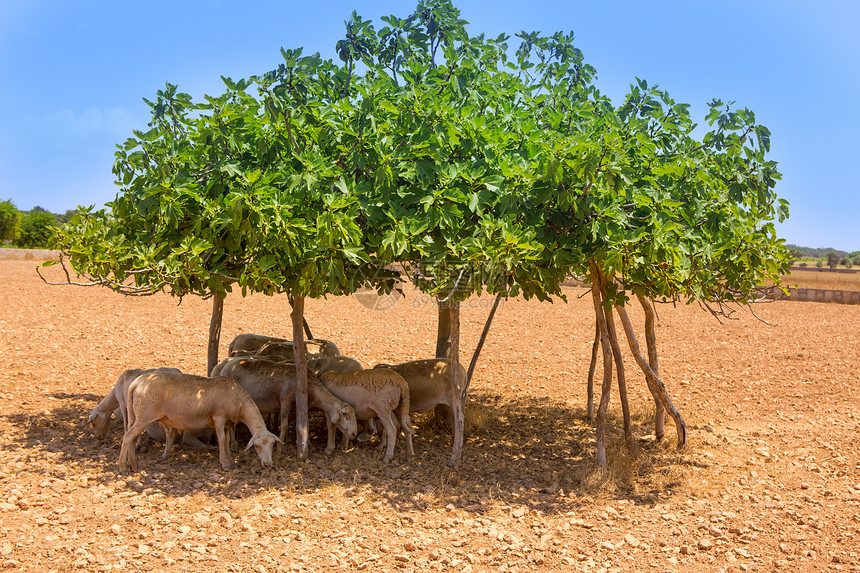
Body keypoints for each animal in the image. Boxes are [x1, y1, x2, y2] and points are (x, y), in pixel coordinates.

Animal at [116, 368, 278, 472]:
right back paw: (123, 467)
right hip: (144, 416)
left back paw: (133, 464)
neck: (239, 402)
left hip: (135, 416)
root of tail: (136, 383)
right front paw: (225, 464)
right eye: (256, 446)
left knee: (132, 437)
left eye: (272, 445)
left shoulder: (226, 423)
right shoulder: (219, 418)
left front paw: (231, 462)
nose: (267, 464)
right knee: (128, 437)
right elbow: (222, 440)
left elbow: (226, 442)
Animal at [213, 354, 358, 452]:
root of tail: (227, 365)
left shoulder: (298, 407)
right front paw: (280, 448)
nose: (354, 434)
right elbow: (283, 426)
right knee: (231, 426)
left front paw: (307, 445)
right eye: (345, 414)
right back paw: (233, 445)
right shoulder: (285, 402)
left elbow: (303, 425)